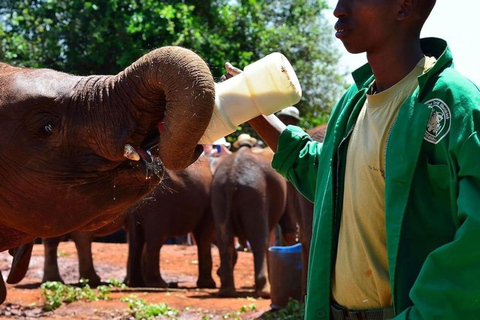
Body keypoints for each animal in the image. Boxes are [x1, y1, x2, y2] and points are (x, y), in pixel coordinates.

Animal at [124, 156, 215, 288]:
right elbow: (204, 236)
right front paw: (209, 285)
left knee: (136, 240)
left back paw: (137, 284)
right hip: (158, 204)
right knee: (154, 241)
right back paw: (159, 284)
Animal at [212, 145, 286, 298]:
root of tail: (232, 177)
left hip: (219, 193)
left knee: (224, 240)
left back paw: (226, 291)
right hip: (255, 194)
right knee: (259, 240)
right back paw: (265, 292)